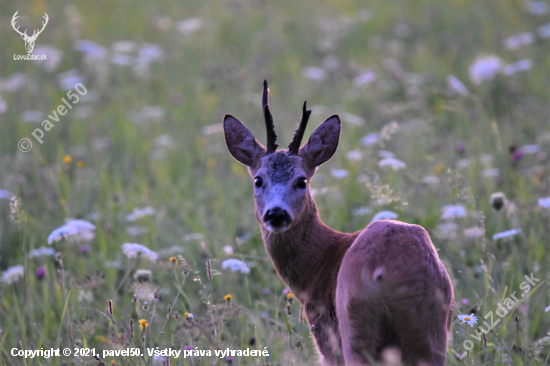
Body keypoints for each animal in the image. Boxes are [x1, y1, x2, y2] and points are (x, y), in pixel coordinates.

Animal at [224, 81, 458, 366]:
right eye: (258, 180)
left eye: (302, 180)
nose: (277, 214)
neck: (318, 264)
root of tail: (386, 271)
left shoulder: (326, 339)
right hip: (430, 331)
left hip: (354, 328)